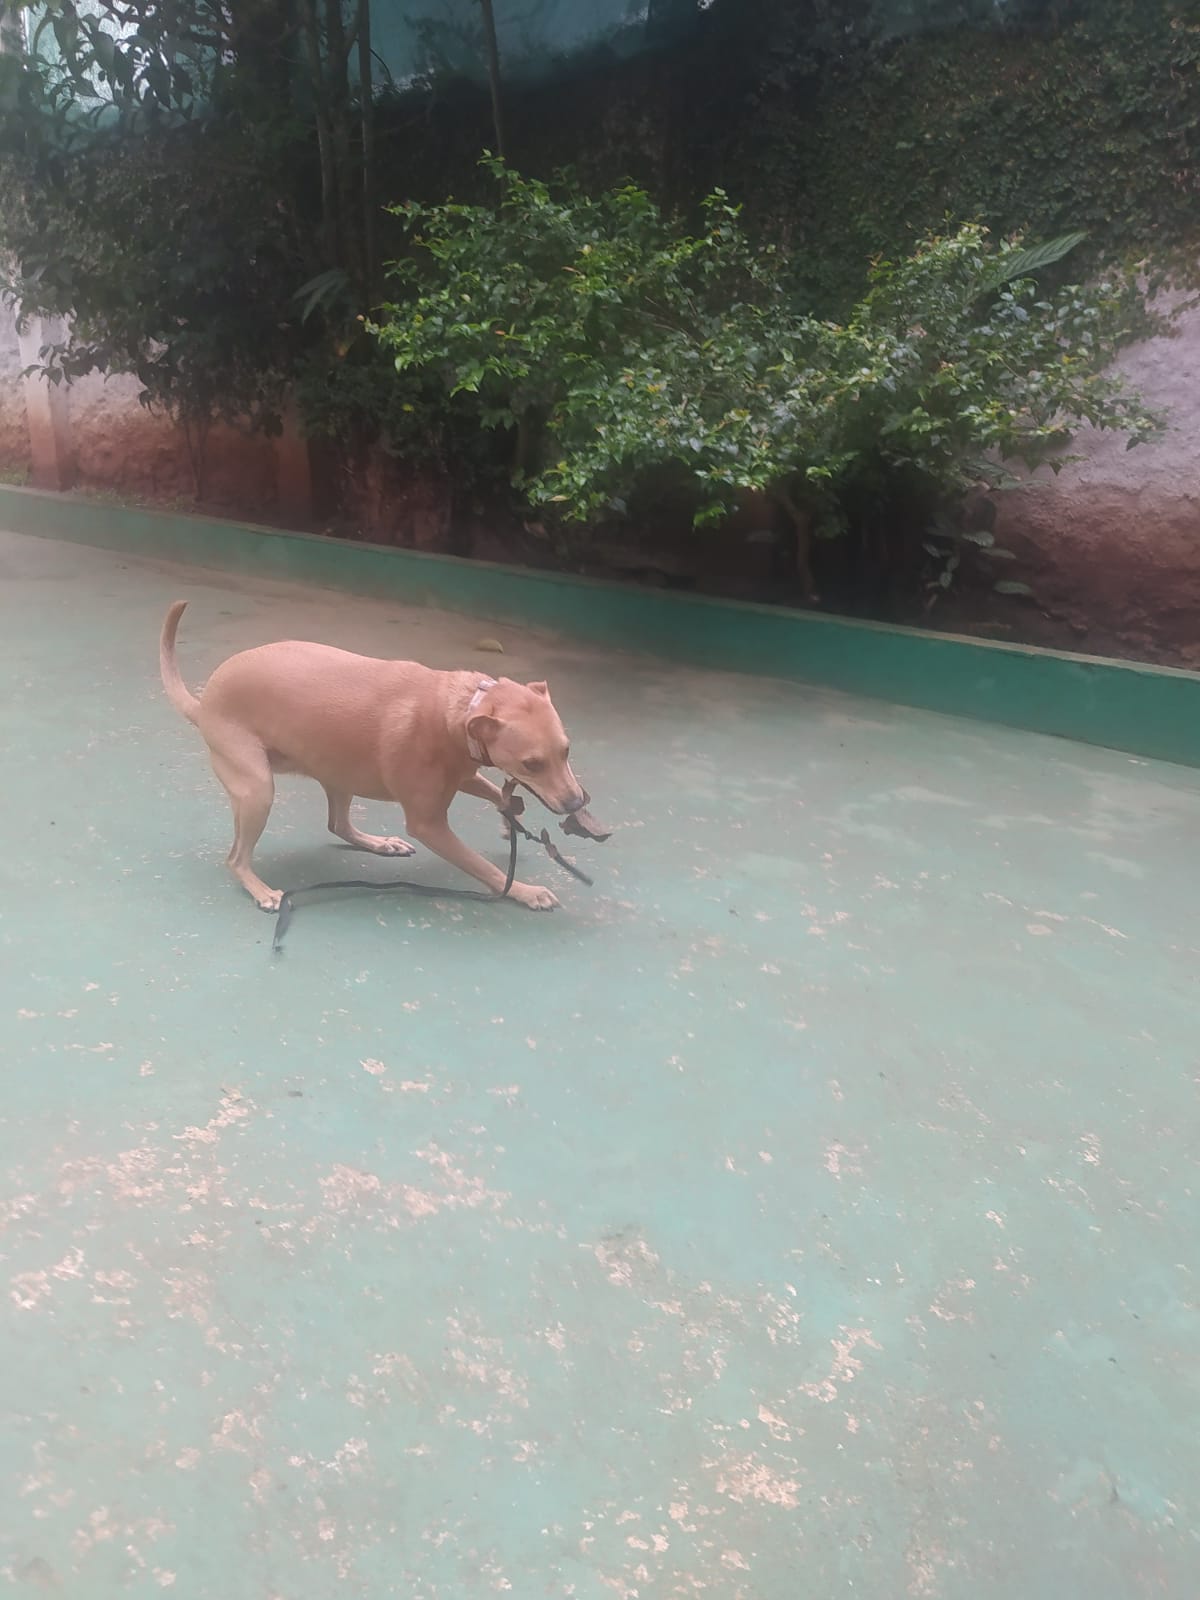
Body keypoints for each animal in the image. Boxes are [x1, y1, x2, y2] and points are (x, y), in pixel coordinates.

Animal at [159, 602, 586, 912]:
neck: (459, 711)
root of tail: (204, 703)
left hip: (339, 772)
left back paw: (378, 843)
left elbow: (499, 795)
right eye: (532, 764)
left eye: (566, 750)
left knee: (338, 825)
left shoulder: (464, 775)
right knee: (236, 858)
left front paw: (508, 818)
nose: (577, 803)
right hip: (258, 791)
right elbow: (487, 869)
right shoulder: (429, 825)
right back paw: (259, 888)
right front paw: (525, 891)